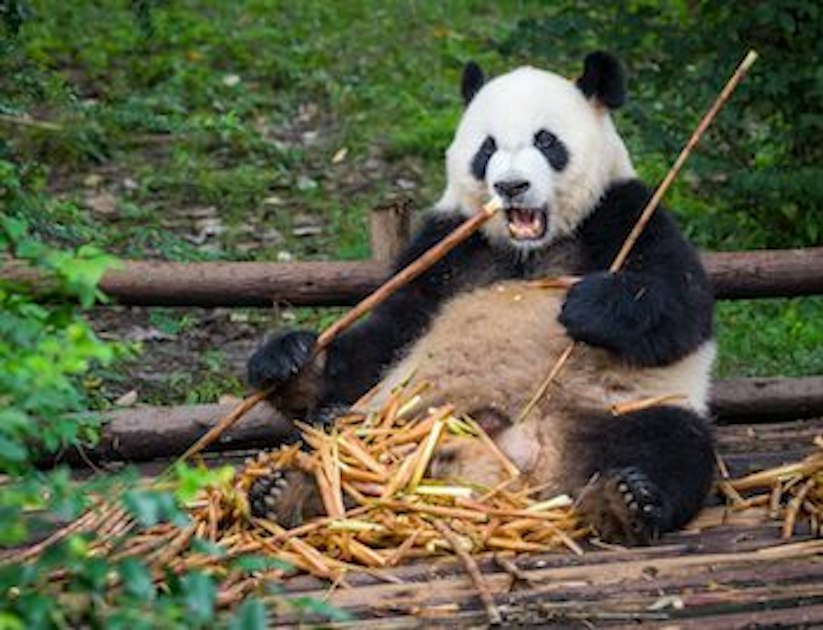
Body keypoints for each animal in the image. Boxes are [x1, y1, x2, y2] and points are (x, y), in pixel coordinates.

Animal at [246, 51, 716, 544]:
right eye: (486, 149)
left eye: (546, 140)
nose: (510, 186)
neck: (528, 249)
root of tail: (515, 460)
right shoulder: (446, 244)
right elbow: (391, 328)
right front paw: (289, 360)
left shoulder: (624, 210)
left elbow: (680, 304)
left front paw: (585, 306)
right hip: (400, 415)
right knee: (333, 434)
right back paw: (289, 490)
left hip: (618, 408)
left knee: (671, 443)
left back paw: (626, 501)